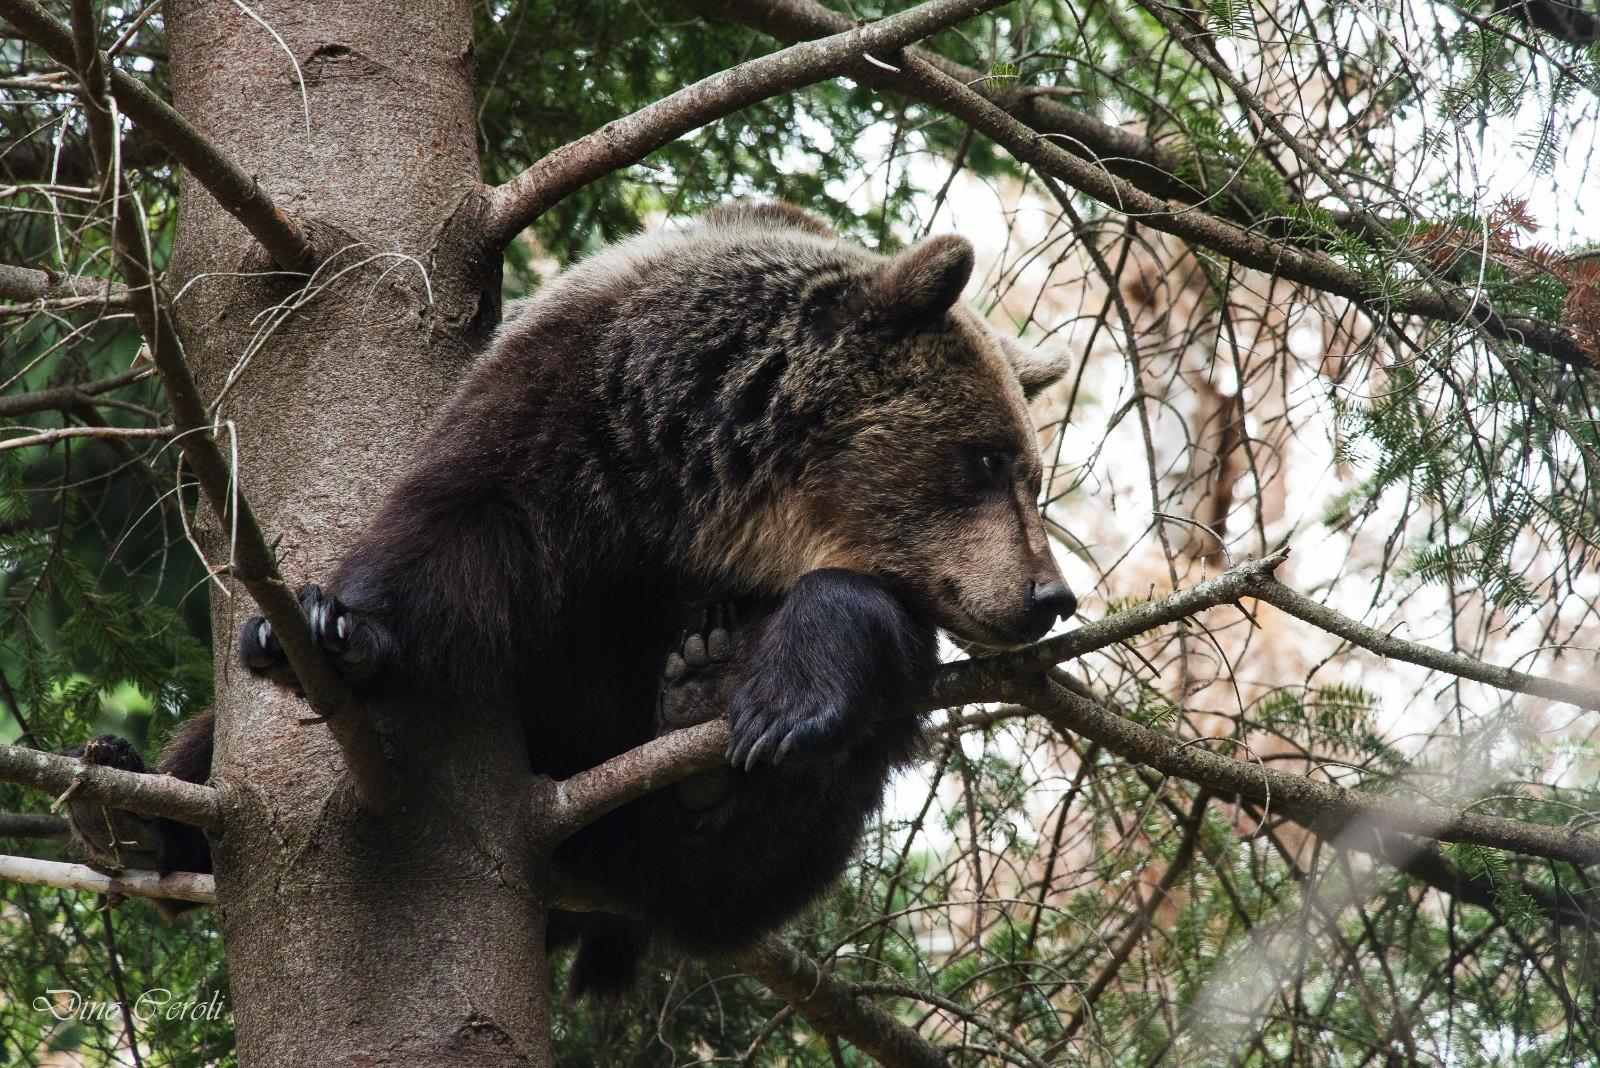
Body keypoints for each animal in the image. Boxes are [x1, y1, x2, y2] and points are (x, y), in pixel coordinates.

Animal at [73, 202, 1077, 997]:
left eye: (1031, 470)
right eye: (988, 459)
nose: (1052, 594)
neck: (721, 508)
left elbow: (873, 645)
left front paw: (776, 695)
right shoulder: (578, 417)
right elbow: (462, 531)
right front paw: (332, 625)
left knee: (743, 868)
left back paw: (706, 724)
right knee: (211, 742)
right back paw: (132, 810)